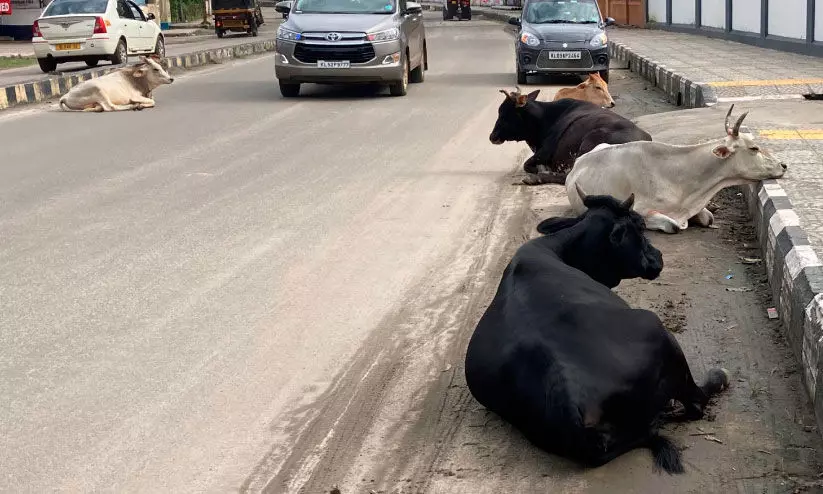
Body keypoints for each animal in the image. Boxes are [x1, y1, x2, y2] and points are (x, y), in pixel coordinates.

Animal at [466, 189, 732, 474]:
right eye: (639, 225)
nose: (658, 257)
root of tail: (572, 404)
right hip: (659, 332)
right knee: (695, 404)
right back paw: (717, 379)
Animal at [490, 89, 656, 187]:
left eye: (503, 114)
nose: (492, 136)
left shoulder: (544, 151)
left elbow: (527, 165)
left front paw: (540, 171)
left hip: (590, 140)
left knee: (569, 177)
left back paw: (536, 178)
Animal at [568, 105, 784, 233]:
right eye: (754, 148)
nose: (783, 165)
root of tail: (577, 162)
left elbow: (708, 217)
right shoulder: (640, 210)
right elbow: (674, 226)